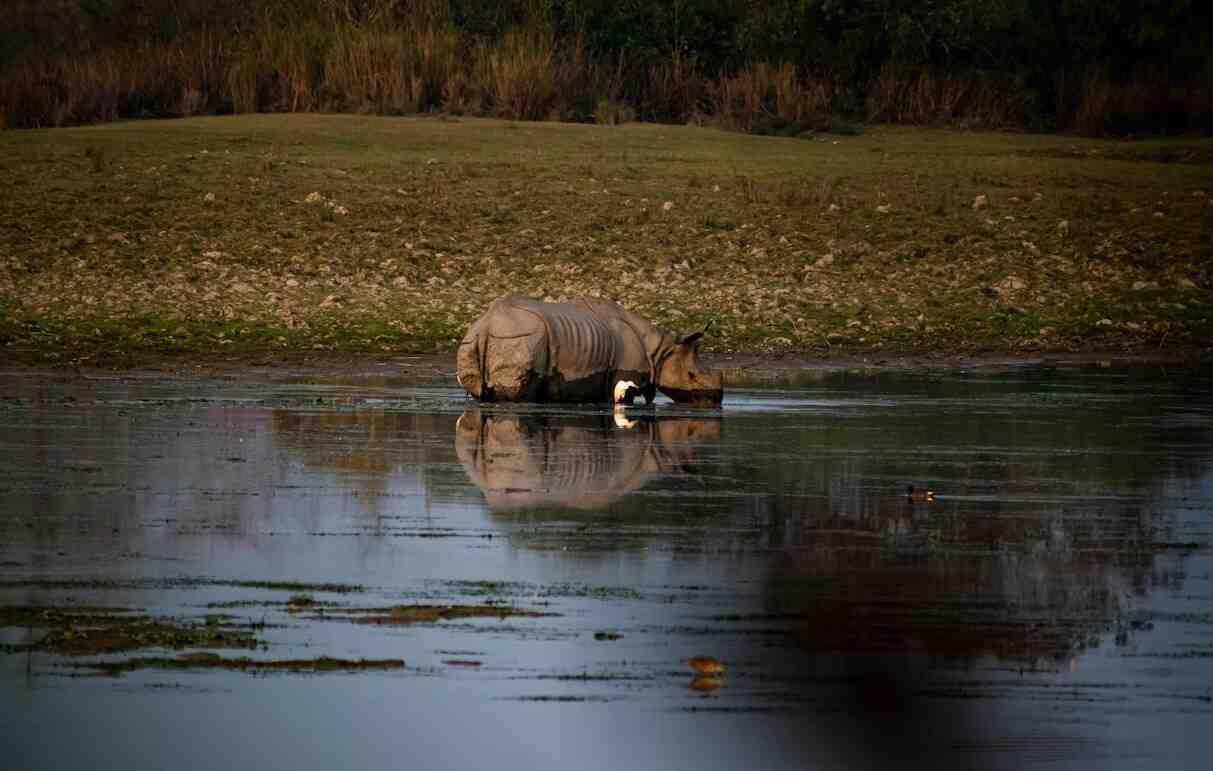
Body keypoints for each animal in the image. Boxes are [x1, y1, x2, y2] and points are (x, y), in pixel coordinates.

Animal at [456, 294, 723, 404]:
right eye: (691, 376)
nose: (716, 401)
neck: (661, 350)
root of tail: (487, 324)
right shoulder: (625, 375)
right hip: (521, 337)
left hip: (474, 340)